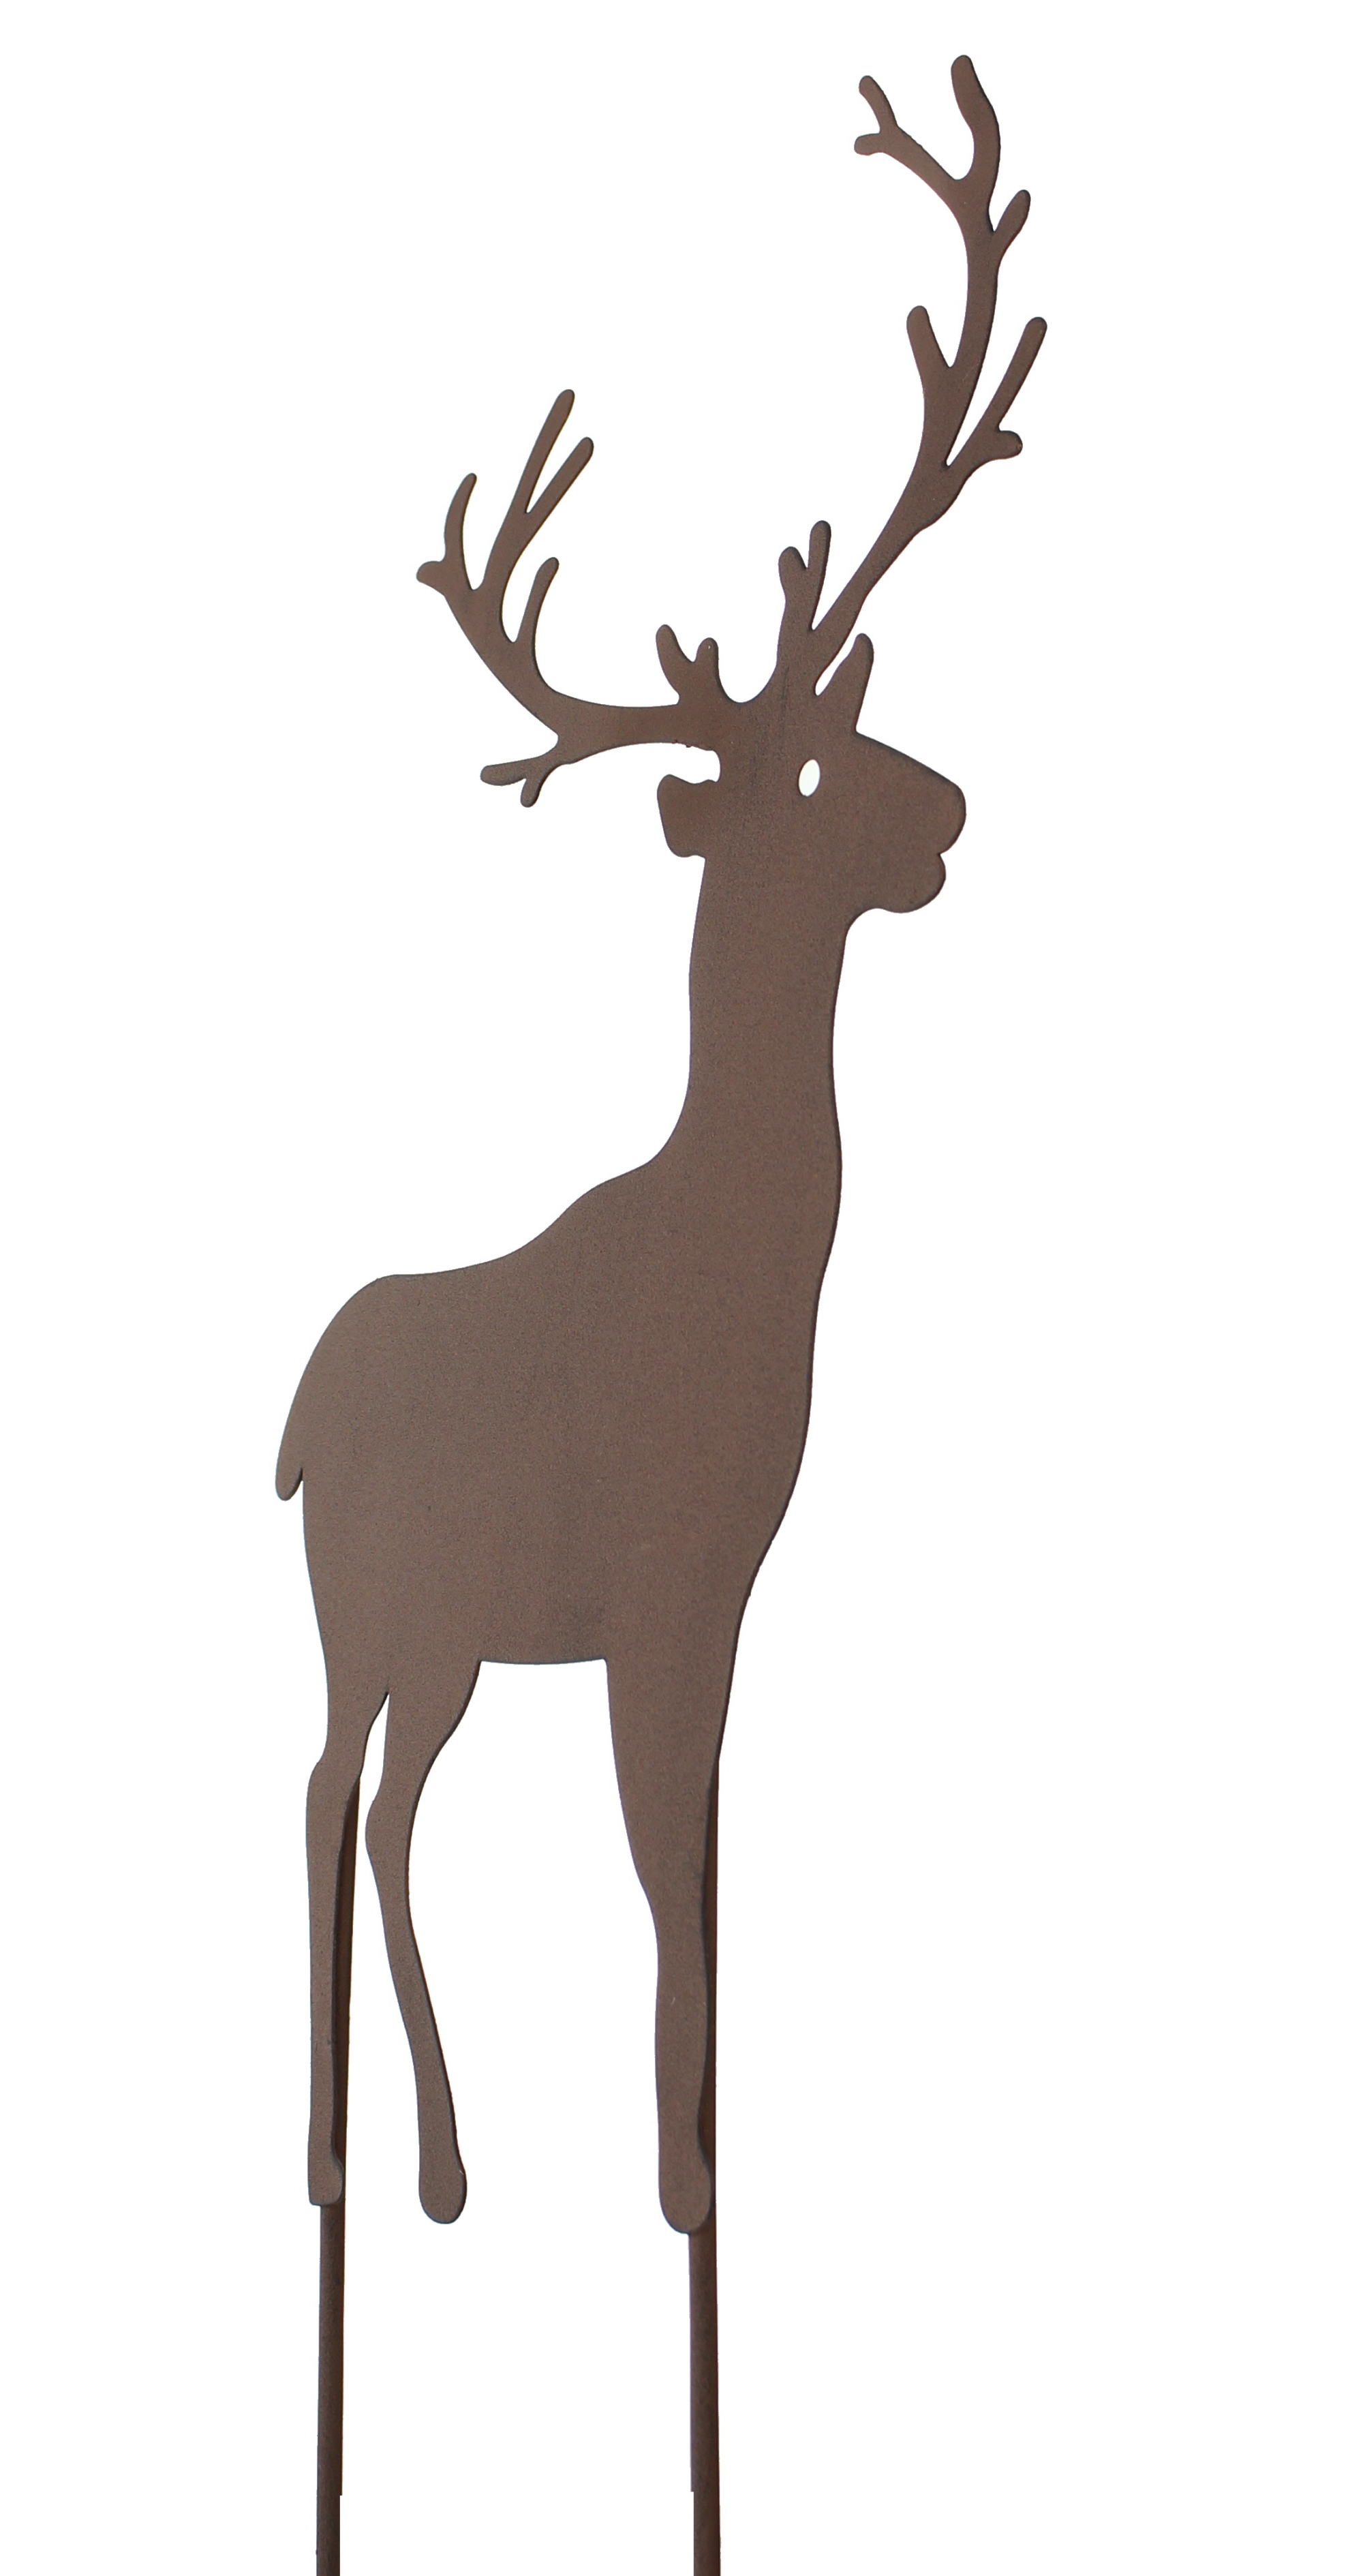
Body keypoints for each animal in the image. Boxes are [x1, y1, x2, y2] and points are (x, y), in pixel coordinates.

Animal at [278, 58, 1043, 2576]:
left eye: (866, 727)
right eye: (803, 768)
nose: (952, 804)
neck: (749, 1256)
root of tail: (289, 1417)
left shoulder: (712, 1605)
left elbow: (707, 1891)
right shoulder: (661, 1593)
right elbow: (658, 1909)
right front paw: (682, 2196)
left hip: (445, 1641)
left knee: (391, 1812)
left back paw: (435, 2167)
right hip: (370, 1610)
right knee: (325, 1794)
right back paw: (355, 2163)